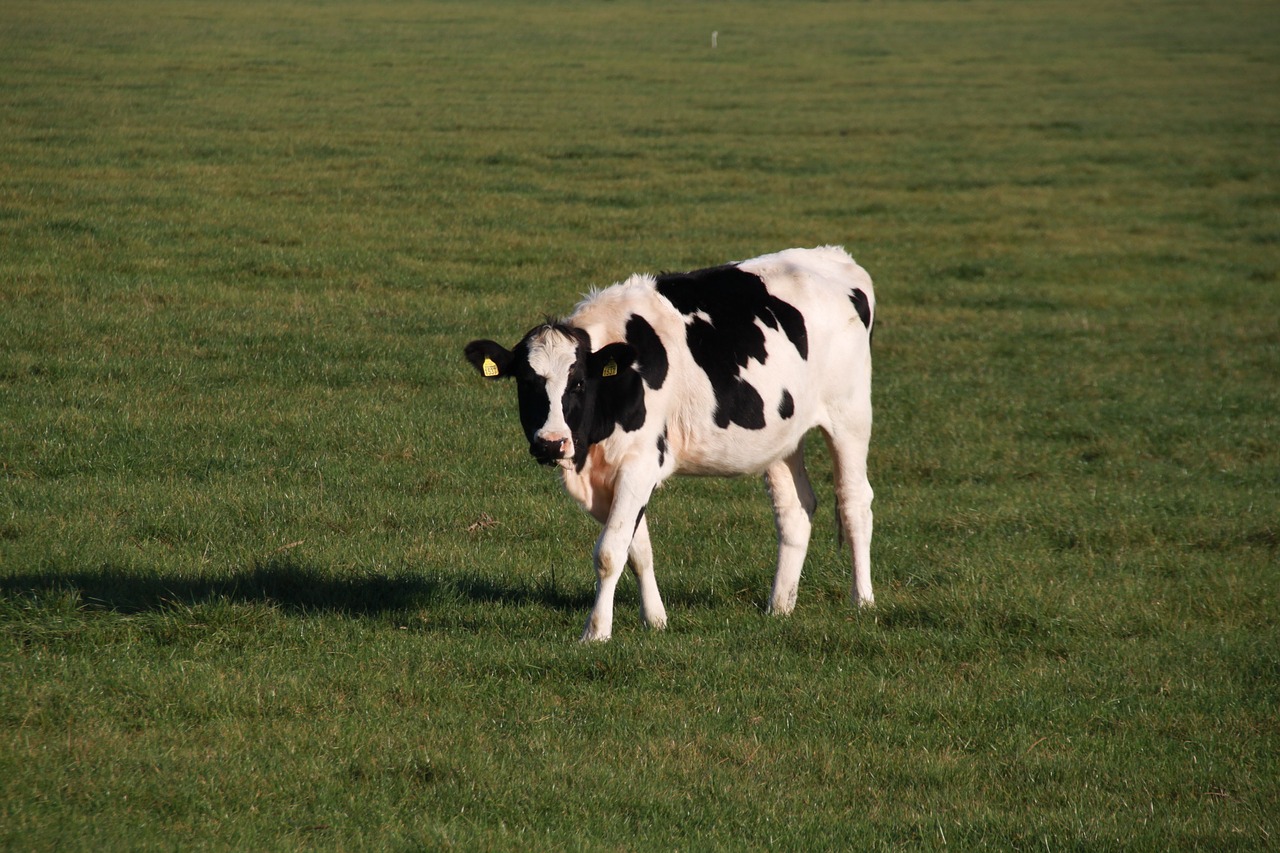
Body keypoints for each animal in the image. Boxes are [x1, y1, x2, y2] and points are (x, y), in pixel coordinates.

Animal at [465, 244, 875, 637]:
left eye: (578, 381)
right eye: (526, 382)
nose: (551, 443)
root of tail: (832, 257)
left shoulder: (641, 463)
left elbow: (610, 552)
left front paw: (596, 632)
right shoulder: (610, 475)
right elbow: (637, 550)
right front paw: (656, 620)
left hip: (850, 415)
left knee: (854, 501)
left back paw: (862, 601)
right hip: (781, 436)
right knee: (795, 509)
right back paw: (780, 606)